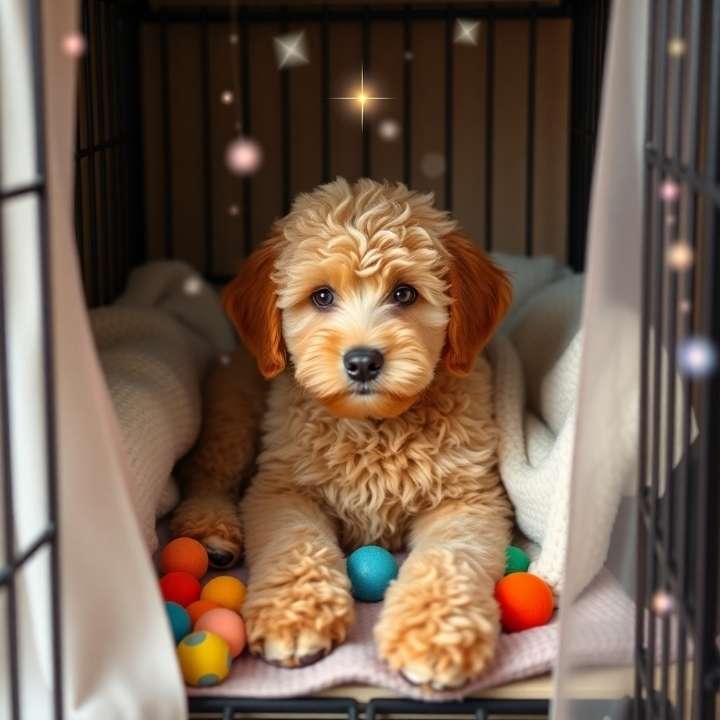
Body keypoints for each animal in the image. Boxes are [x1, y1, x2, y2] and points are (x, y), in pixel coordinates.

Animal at [225, 177, 512, 688]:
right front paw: (293, 614)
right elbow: (295, 543)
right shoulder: (281, 489)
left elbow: (448, 559)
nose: (362, 362)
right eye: (321, 296)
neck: (376, 428)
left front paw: (434, 635)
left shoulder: (467, 499)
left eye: (404, 294)